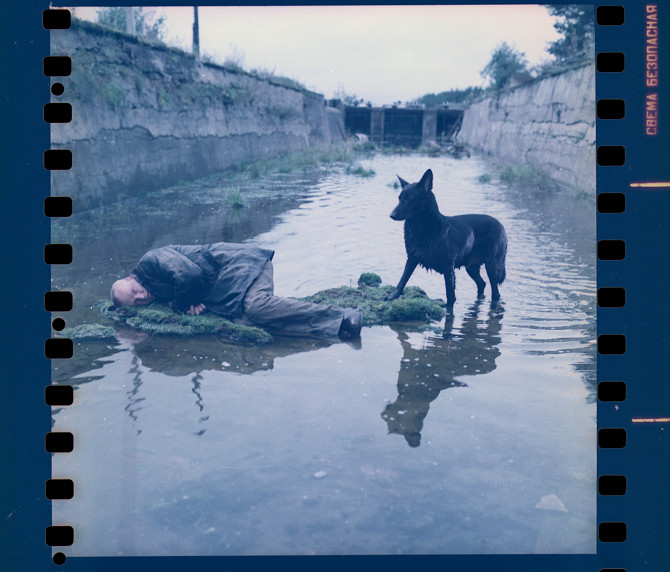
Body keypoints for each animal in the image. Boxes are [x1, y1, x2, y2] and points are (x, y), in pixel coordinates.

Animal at [388, 168, 510, 306]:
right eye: (399, 198)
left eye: (408, 199)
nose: (391, 215)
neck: (423, 228)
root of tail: (501, 225)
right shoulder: (412, 259)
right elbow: (402, 281)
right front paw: (392, 297)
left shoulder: (448, 268)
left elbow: (450, 297)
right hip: (471, 268)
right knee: (482, 284)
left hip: (491, 266)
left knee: (495, 293)